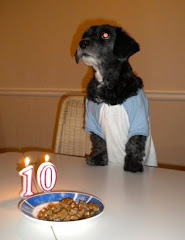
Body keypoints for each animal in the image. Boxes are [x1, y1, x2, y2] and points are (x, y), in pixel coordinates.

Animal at [74, 24, 157, 172]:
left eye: (105, 35)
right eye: (84, 35)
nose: (82, 43)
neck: (107, 83)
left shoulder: (139, 119)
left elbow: (134, 142)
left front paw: (133, 164)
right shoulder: (93, 121)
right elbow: (98, 141)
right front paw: (98, 159)